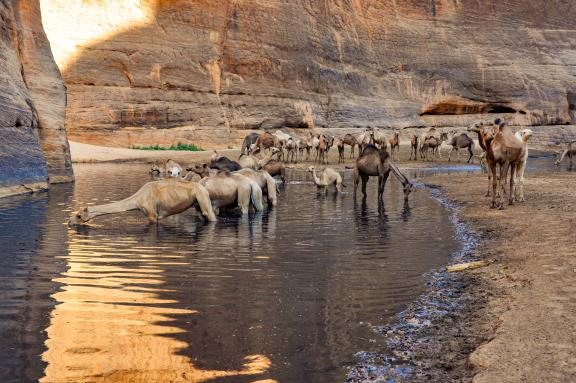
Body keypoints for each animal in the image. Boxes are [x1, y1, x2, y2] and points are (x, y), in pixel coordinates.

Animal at [68, 180, 217, 225]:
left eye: (78, 216)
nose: (69, 223)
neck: (137, 199)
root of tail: (204, 187)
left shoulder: (152, 215)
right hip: (197, 202)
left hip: (202, 197)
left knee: (210, 215)